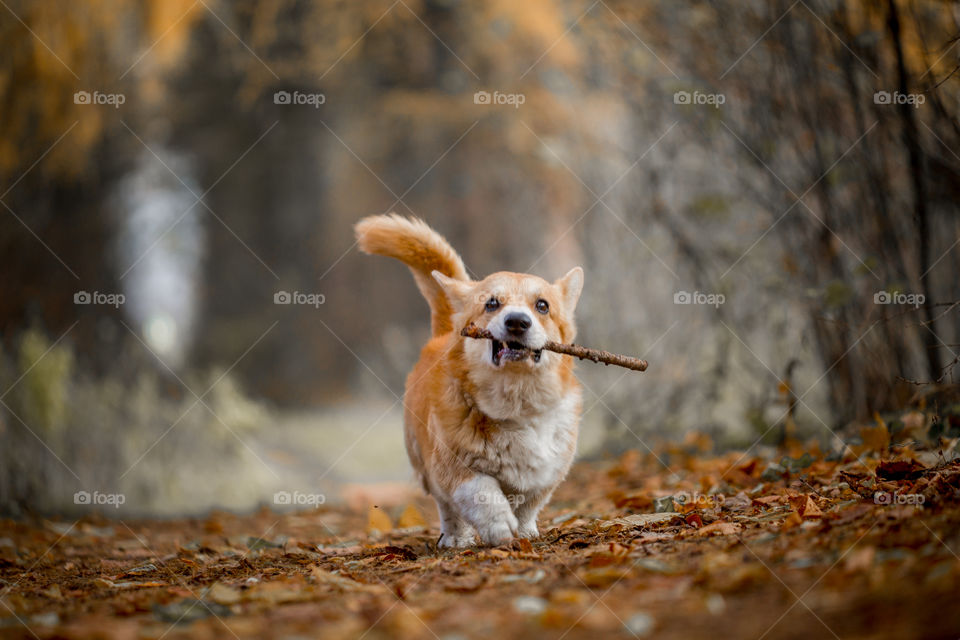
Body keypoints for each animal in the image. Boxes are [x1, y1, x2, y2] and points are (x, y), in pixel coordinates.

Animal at [352, 215, 576, 544]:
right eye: (492, 303)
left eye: (542, 305)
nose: (517, 322)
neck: (515, 399)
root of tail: (445, 330)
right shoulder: (452, 466)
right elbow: (481, 491)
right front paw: (499, 525)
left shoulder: (547, 472)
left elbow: (529, 504)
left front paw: (525, 532)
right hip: (423, 462)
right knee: (447, 508)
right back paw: (455, 538)